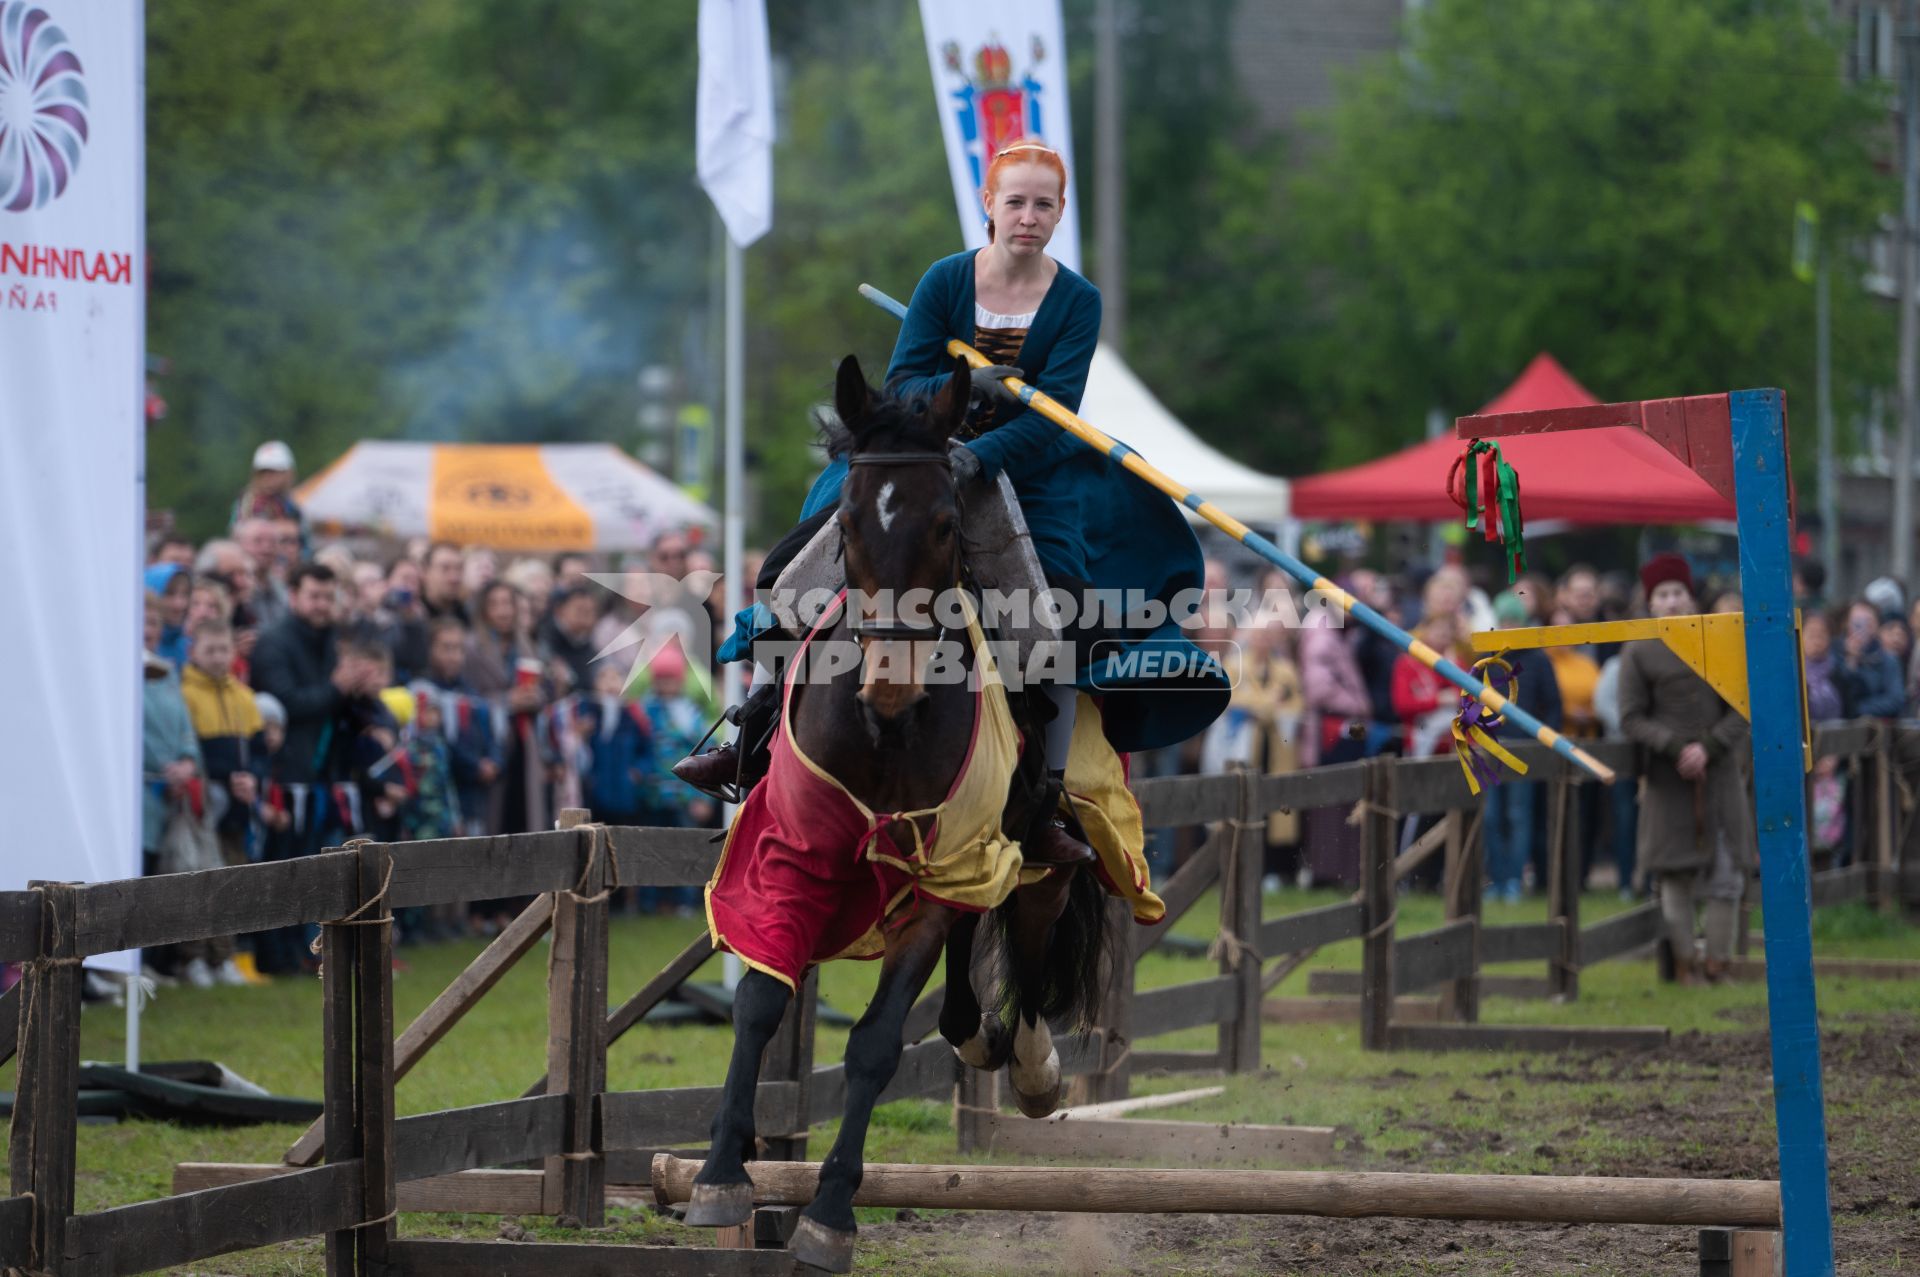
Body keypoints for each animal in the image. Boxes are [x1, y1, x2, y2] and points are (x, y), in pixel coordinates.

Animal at [691, 353, 1113, 1267]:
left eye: (949, 524)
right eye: (845, 524)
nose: (890, 686)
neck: (884, 732)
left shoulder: (945, 870)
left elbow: (877, 1041)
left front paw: (830, 1211)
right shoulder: (791, 850)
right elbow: (760, 1001)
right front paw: (721, 1169)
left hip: (1026, 855)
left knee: (1027, 937)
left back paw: (1030, 1062)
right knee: (968, 964)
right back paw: (979, 1033)